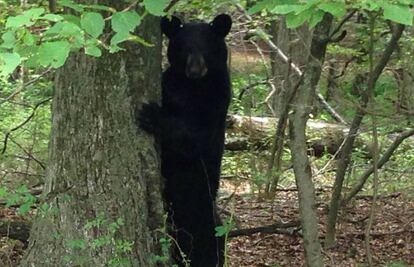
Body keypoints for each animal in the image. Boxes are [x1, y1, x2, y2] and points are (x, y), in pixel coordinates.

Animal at [138, 15, 230, 267]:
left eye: (207, 47)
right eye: (183, 48)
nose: (195, 69)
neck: (193, 88)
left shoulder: (217, 102)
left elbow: (193, 138)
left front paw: (151, 115)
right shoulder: (169, 85)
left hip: (204, 224)